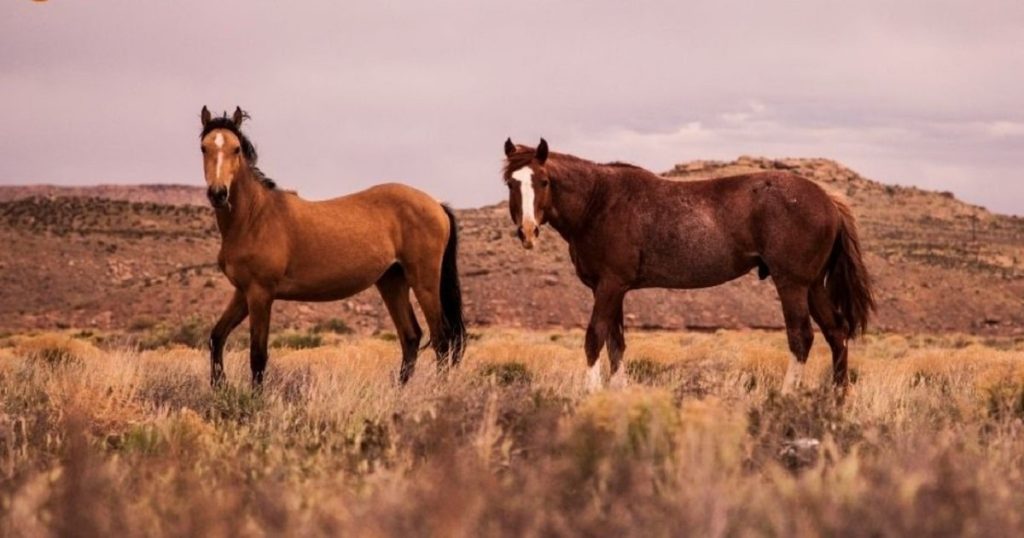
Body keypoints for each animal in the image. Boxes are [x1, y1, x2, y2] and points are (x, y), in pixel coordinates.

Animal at [196, 106, 468, 385]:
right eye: (204, 148)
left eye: (236, 148)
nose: (218, 194)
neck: (254, 217)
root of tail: (436, 205)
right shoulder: (243, 292)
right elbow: (216, 337)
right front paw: (219, 386)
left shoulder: (261, 293)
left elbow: (258, 356)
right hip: (392, 281)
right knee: (411, 337)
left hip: (424, 282)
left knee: (442, 339)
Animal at [499, 138, 876, 393]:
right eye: (511, 183)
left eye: (543, 181)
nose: (528, 231)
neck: (599, 202)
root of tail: (827, 199)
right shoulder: (612, 289)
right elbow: (616, 343)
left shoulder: (609, 286)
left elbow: (594, 338)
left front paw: (591, 394)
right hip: (812, 286)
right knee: (836, 333)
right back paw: (835, 399)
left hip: (792, 285)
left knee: (802, 337)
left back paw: (787, 397)